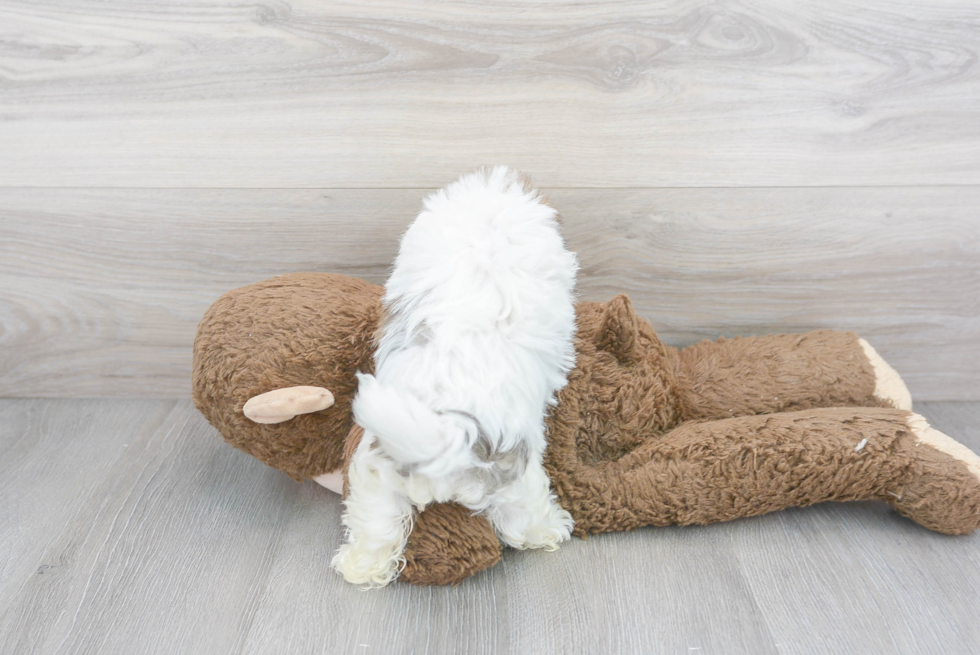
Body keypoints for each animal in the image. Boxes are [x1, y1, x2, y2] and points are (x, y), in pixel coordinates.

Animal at [334, 167, 580, 588]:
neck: (487, 232)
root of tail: (451, 435)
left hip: (377, 470)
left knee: (376, 523)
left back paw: (362, 566)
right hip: (516, 473)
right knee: (520, 518)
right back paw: (548, 531)